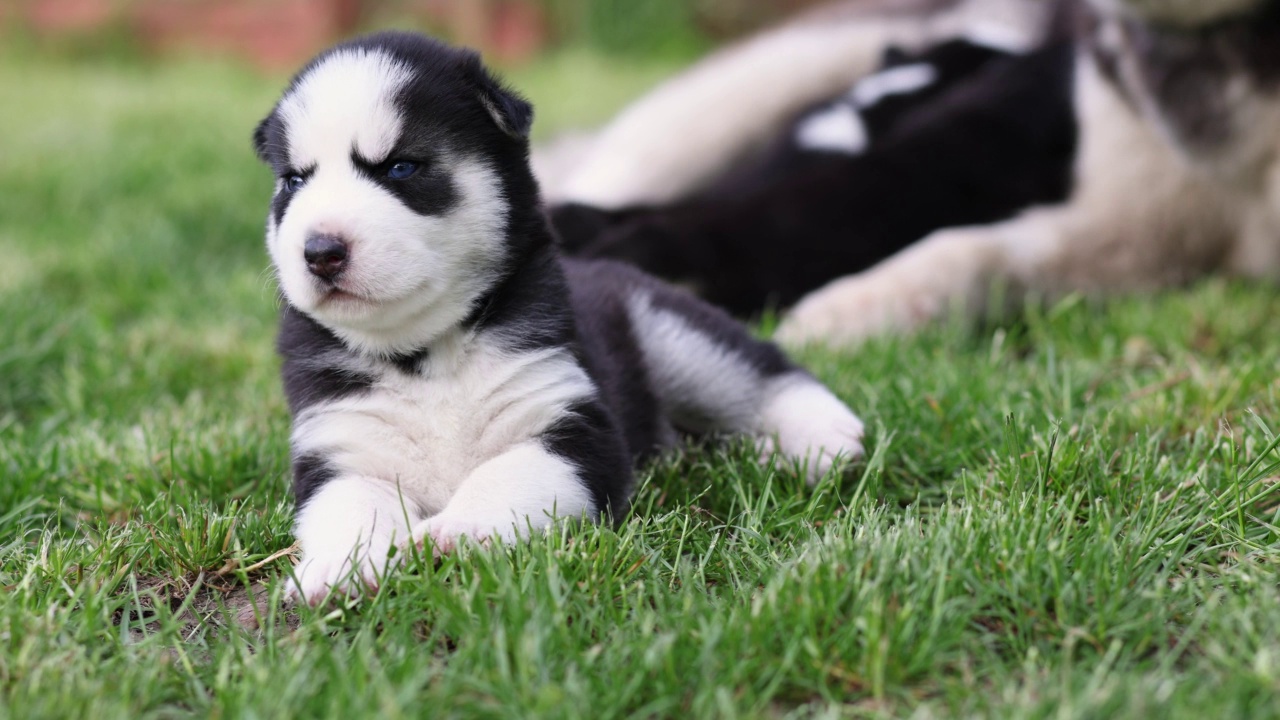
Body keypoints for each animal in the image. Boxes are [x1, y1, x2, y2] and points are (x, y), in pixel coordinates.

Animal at [252, 32, 870, 599]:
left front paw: (459, 529)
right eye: (295, 181)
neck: (426, 354)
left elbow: (505, 474)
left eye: (401, 167)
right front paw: (338, 566)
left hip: (672, 335)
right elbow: (350, 504)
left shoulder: (569, 423)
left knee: (759, 370)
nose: (320, 251)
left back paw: (825, 436)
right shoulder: (340, 446)